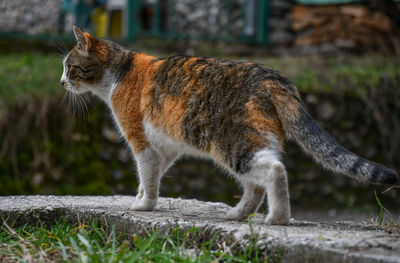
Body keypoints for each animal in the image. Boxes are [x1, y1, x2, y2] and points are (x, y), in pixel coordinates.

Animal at [61, 26, 398, 225]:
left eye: (70, 67)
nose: (62, 82)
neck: (121, 72)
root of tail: (272, 77)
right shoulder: (165, 150)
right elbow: (150, 177)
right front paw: (140, 198)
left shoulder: (141, 141)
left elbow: (147, 176)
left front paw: (144, 207)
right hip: (254, 140)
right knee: (256, 184)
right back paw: (238, 214)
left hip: (233, 143)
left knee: (274, 172)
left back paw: (277, 218)